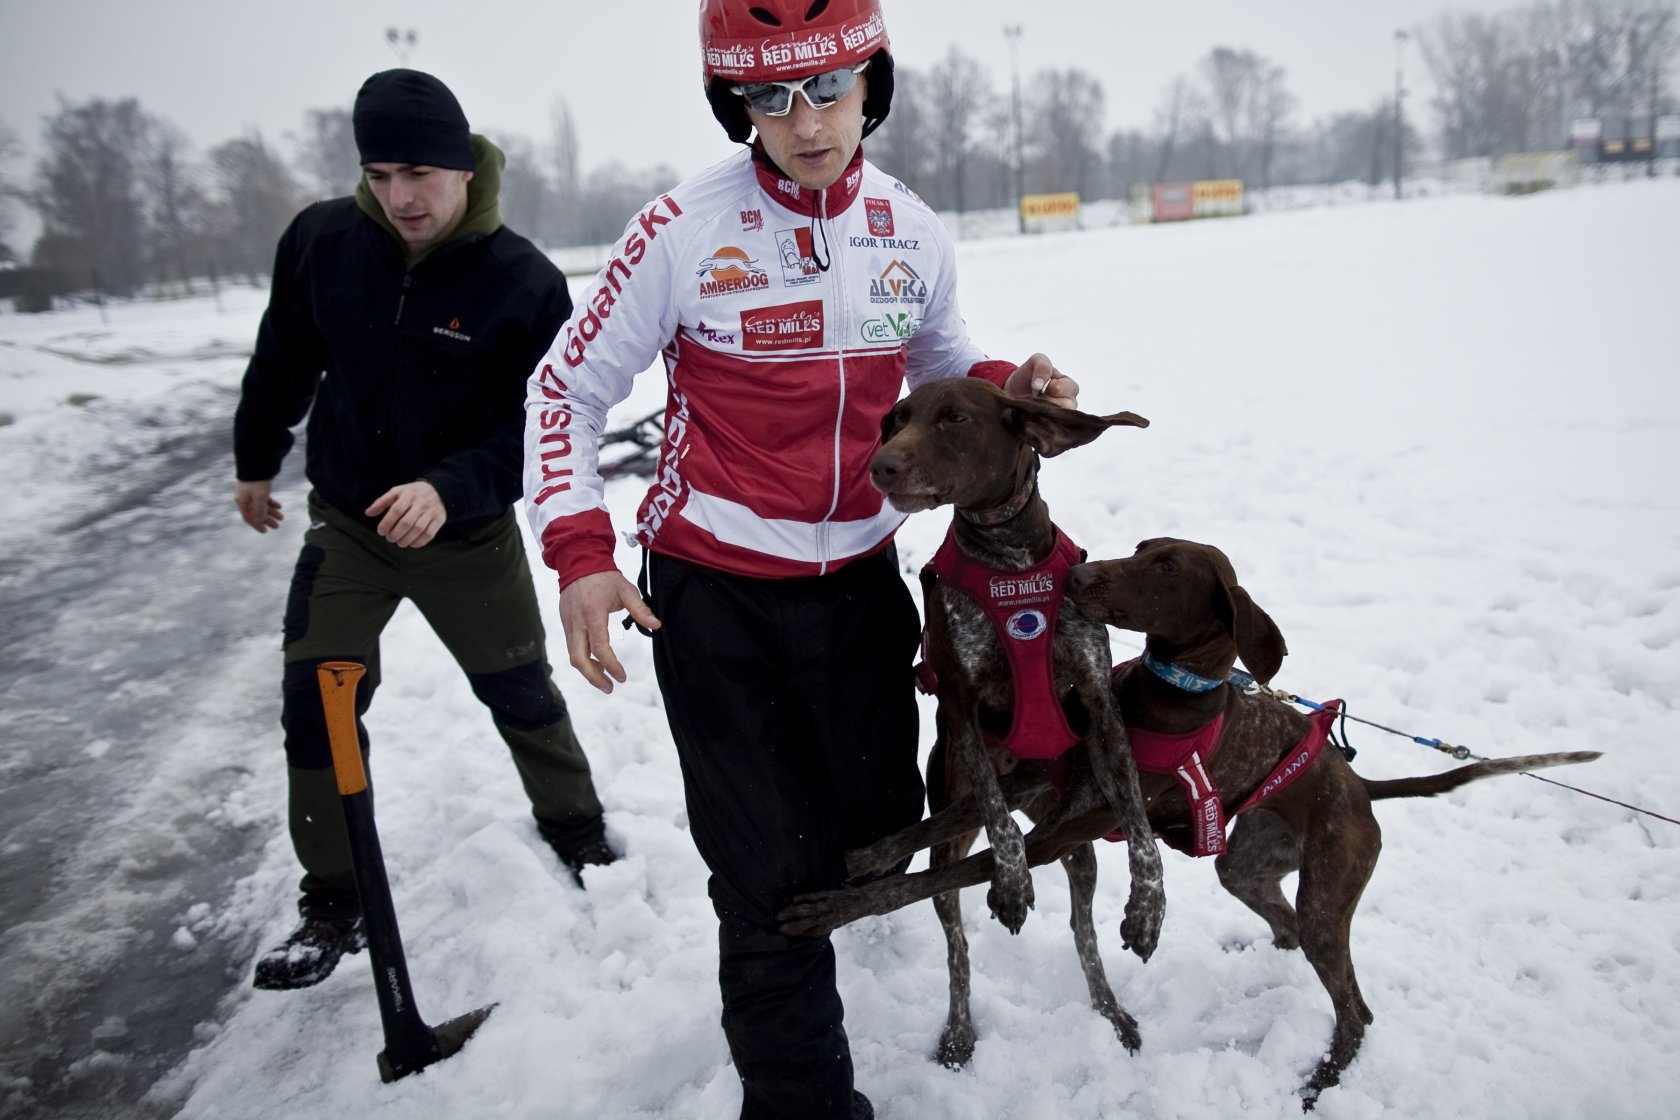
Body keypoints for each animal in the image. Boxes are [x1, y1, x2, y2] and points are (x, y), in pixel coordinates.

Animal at [779, 379, 1162, 1067]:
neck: (1010, 561)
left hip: (1076, 846)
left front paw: (1149, 907)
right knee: (954, 935)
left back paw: (1110, 1012)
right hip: (954, 830)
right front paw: (1010, 880)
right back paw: (958, 1027)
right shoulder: (961, 704)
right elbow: (995, 817)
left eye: (954, 419)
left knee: (1083, 933)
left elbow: (1141, 832)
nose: (880, 465)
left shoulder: (1098, 701)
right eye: (894, 421)